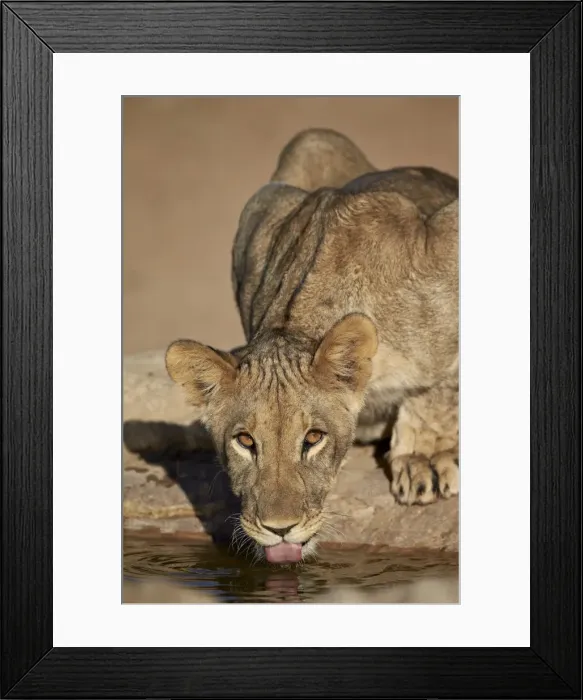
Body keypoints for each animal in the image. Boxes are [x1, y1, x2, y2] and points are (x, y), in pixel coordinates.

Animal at [166, 128, 459, 564]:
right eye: (245, 441)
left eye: (313, 438)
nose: (279, 529)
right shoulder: (264, 209)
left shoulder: (446, 243)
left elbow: (435, 392)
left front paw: (426, 460)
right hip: (313, 140)